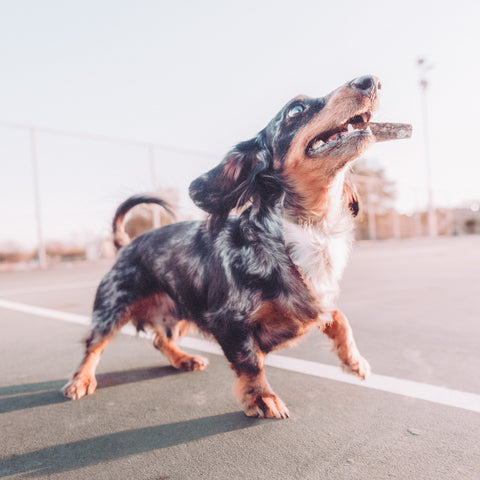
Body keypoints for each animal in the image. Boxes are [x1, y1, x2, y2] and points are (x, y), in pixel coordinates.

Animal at [64, 76, 382, 420]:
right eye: (295, 109)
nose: (370, 81)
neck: (305, 230)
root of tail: (126, 245)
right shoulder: (228, 322)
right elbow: (251, 363)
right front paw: (262, 398)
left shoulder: (313, 304)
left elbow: (339, 318)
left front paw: (354, 361)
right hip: (113, 308)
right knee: (94, 345)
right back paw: (81, 380)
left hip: (181, 309)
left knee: (160, 339)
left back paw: (184, 358)